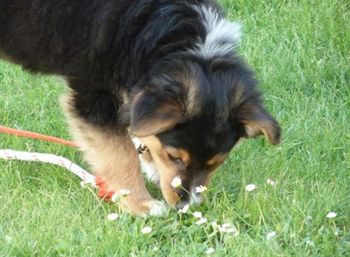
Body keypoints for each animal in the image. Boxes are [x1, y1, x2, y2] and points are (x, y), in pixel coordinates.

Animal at [0, 0, 280, 215]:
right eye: (174, 156)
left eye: (215, 164)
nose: (186, 207)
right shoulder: (94, 95)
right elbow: (121, 153)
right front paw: (142, 205)